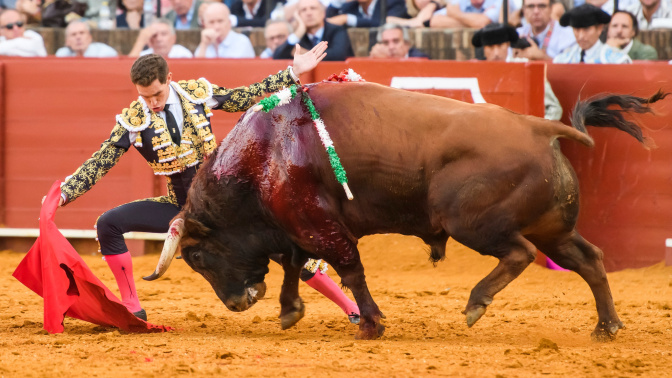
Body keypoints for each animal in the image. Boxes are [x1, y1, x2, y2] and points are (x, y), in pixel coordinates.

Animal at [143, 81, 668, 342]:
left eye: (198, 257)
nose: (237, 303)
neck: (265, 153)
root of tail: (541, 128)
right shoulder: (296, 228)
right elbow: (294, 265)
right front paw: (290, 311)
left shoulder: (320, 226)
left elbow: (349, 271)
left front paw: (371, 325)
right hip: (552, 228)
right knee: (589, 259)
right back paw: (607, 327)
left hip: (473, 223)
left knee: (519, 254)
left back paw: (476, 303)